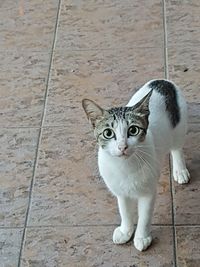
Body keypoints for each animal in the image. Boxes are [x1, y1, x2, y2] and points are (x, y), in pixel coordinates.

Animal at [82, 79, 190, 251]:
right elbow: (125, 212)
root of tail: (163, 81)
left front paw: (141, 237)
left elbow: (144, 217)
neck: (125, 167)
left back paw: (180, 170)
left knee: (177, 147)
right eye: (108, 133)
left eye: (133, 130)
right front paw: (125, 231)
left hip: (179, 127)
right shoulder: (120, 190)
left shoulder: (148, 192)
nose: (122, 147)